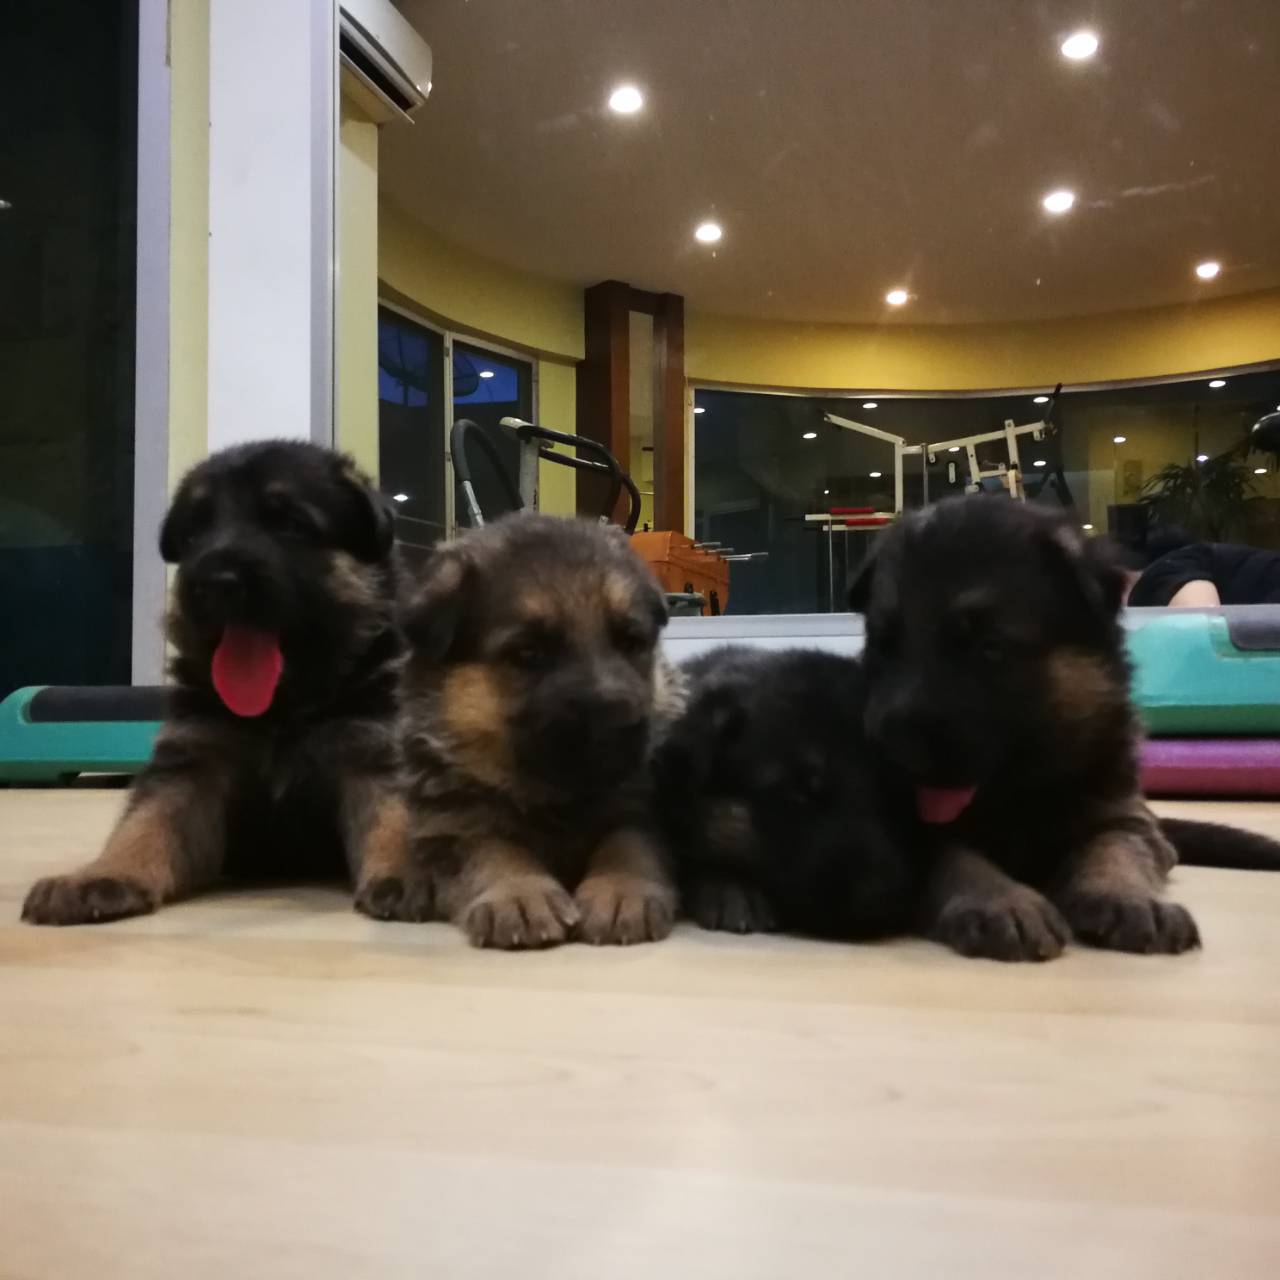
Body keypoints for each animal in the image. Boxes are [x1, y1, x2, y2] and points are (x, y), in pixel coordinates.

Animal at [22, 440, 426, 925]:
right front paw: (103, 874)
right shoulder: (192, 766)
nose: (214, 583)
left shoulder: (373, 753)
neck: (284, 708)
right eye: (195, 535)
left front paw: (408, 870)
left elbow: (396, 816)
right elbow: (145, 822)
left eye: (291, 525)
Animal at [399, 512, 683, 949]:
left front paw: (621, 892)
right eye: (529, 653)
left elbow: (628, 843)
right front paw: (519, 893)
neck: (555, 799)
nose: (620, 722)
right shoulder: (451, 827)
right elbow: (493, 848)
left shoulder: (641, 807)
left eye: (630, 642)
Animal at [850, 495, 1280, 962]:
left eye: (990, 649)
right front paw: (1000, 899)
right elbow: (955, 857)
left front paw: (1128, 898)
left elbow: (1114, 849)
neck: (1020, 793)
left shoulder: (1124, 817)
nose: (887, 752)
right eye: (882, 646)